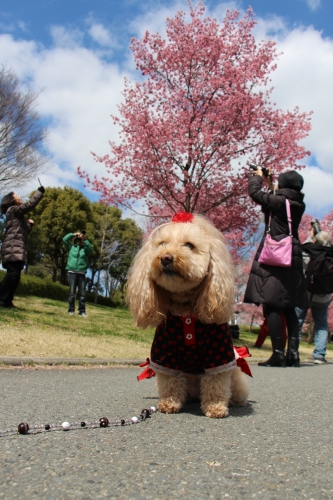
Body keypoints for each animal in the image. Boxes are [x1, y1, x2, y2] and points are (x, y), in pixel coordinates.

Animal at [125, 213, 249, 420]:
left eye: (189, 245)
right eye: (162, 244)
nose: (166, 258)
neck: (185, 309)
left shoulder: (219, 352)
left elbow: (215, 380)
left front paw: (215, 407)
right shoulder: (164, 352)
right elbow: (169, 380)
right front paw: (169, 404)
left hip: (237, 379)